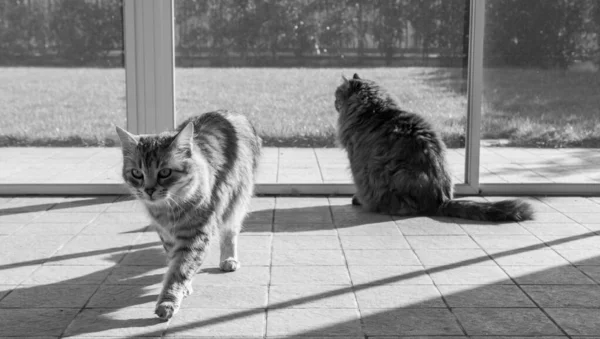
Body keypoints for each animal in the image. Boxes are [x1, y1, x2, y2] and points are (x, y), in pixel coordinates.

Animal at [115, 110, 260, 320]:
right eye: (136, 173)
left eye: (165, 172)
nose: (149, 190)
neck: (167, 210)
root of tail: (229, 113)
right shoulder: (166, 235)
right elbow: (174, 261)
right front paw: (185, 287)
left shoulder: (196, 234)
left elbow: (180, 269)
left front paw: (168, 300)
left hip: (236, 200)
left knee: (230, 233)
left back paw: (229, 259)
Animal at [332, 73, 536, 223]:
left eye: (337, 95)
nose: (334, 103)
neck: (375, 109)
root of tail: (442, 200)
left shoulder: (356, 161)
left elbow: (358, 183)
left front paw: (357, 198)